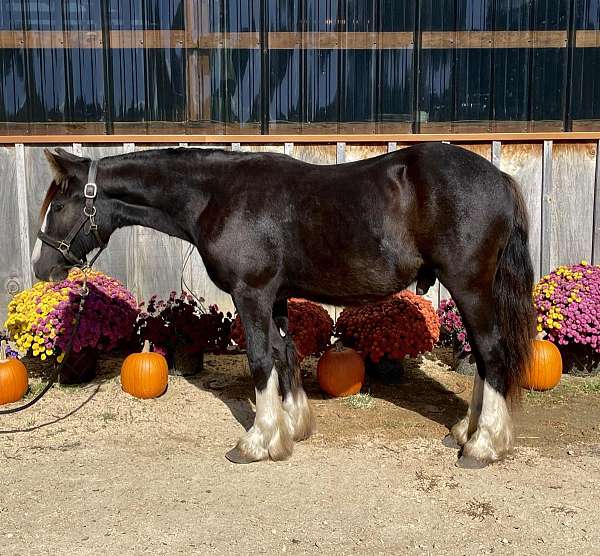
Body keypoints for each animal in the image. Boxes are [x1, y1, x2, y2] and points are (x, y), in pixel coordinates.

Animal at [31, 144, 536, 470]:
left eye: (58, 206)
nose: (41, 267)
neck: (218, 195)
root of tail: (500, 179)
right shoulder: (274, 296)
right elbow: (283, 355)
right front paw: (291, 427)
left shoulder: (250, 293)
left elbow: (259, 360)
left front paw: (256, 441)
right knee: (483, 356)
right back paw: (466, 431)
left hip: (469, 286)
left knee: (491, 353)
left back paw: (483, 445)